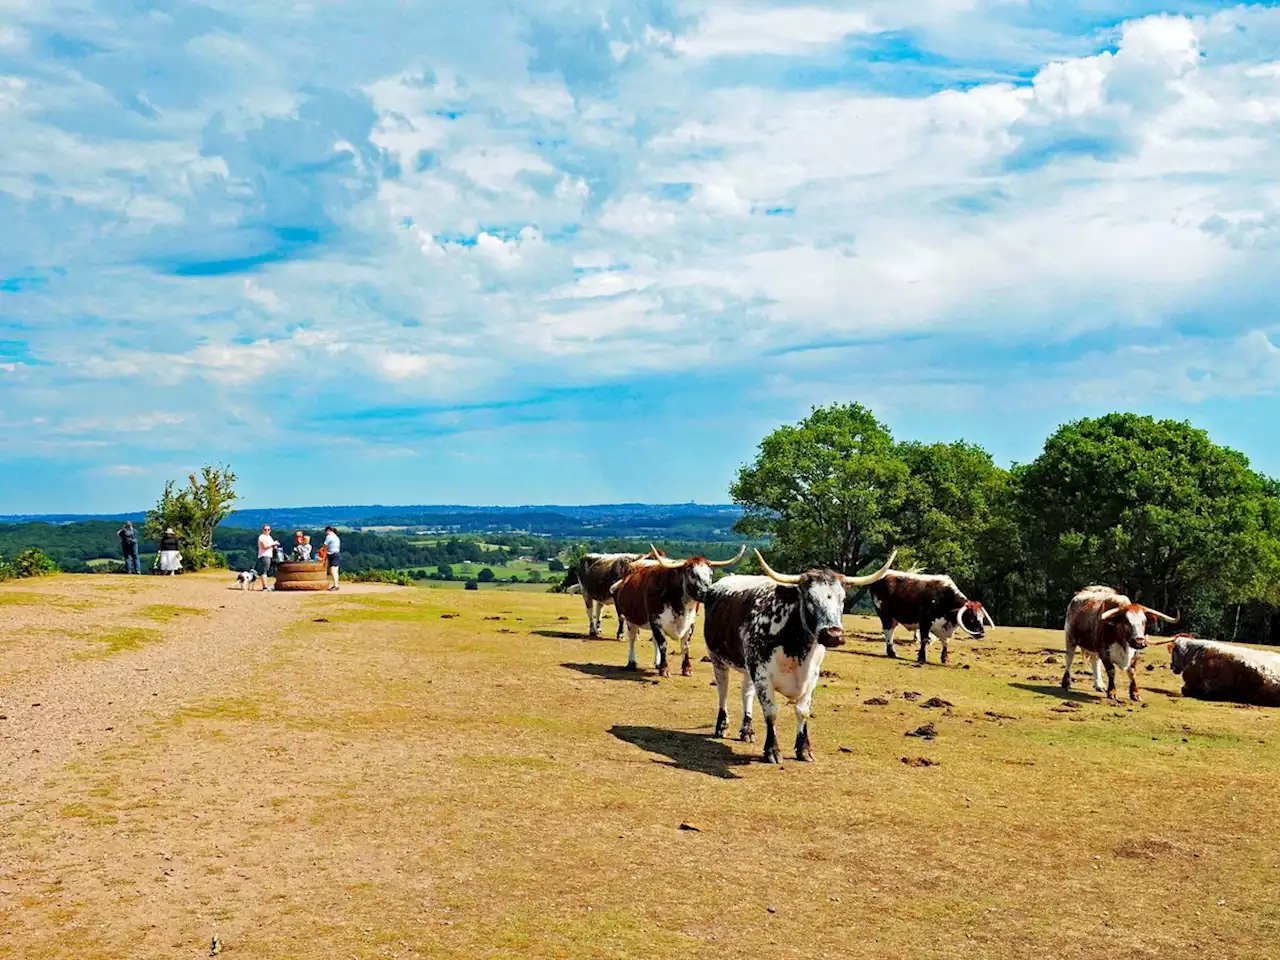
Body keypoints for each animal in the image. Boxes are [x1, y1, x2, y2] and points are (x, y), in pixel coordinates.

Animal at [611, 545, 747, 680]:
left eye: (710, 574)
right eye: (692, 573)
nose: (707, 592)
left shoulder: (690, 623)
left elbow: (685, 645)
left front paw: (686, 669)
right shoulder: (656, 621)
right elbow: (663, 644)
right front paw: (664, 669)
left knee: (653, 641)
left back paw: (657, 663)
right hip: (630, 619)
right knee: (632, 639)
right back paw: (632, 662)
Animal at [701, 547, 901, 768]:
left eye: (842, 600)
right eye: (809, 599)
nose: (833, 635)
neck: (795, 643)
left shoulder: (811, 676)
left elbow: (802, 711)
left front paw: (804, 749)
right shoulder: (762, 674)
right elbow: (771, 712)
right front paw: (772, 750)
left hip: (748, 667)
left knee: (747, 693)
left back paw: (747, 731)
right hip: (717, 658)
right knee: (723, 691)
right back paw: (721, 726)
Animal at [865, 568, 993, 665]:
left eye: (982, 618)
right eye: (971, 618)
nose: (981, 634)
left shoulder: (943, 627)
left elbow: (945, 642)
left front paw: (945, 658)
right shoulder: (925, 622)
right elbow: (925, 640)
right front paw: (922, 657)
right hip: (885, 615)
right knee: (888, 632)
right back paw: (892, 652)